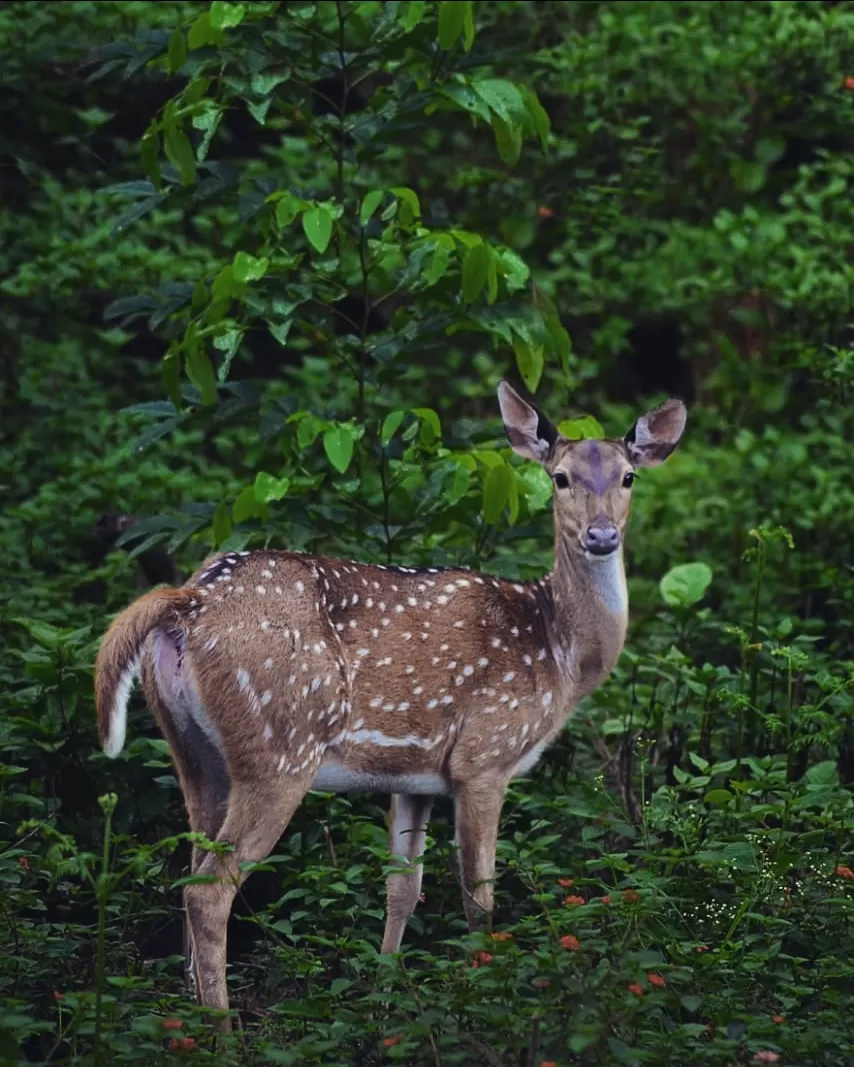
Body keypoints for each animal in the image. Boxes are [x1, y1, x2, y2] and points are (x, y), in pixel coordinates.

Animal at [95, 384, 687, 1024]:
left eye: (628, 476)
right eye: (559, 477)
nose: (601, 536)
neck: (555, 650)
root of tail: (187, 601)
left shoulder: (415, 776)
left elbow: (403, 888)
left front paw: (387, 993)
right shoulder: (485, 756)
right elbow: (478, 897)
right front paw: (482, 994)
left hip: (194, 753)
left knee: (186, 873)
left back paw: (190, 1016)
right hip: (278, 745)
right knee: (210, 890)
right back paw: (225, 1027)